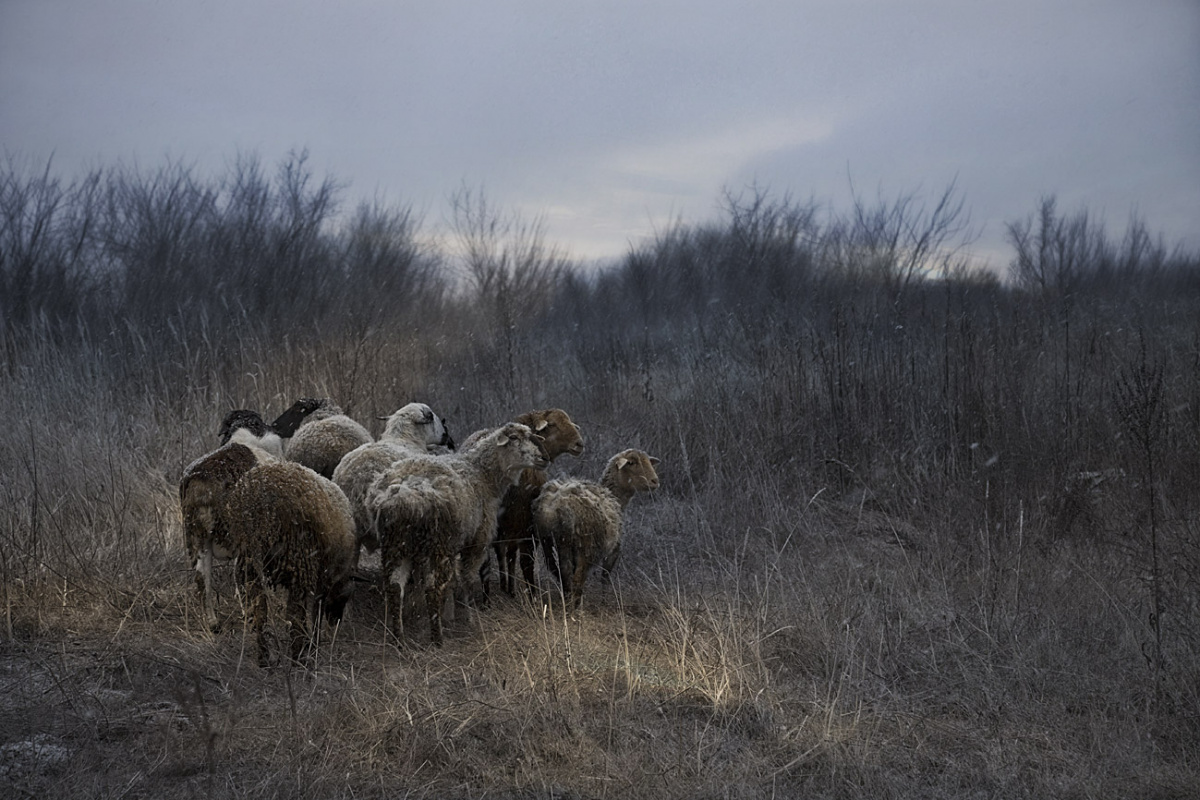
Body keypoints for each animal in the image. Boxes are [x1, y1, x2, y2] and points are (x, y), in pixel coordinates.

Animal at [222, 460, 358, 667]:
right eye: (345, 597)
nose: (337, 621)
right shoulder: (322, 579)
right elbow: (315, 614)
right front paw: (314, 647)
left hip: (249, 567)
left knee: (260, 612)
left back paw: (264, 658)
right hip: (300, 563)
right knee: (294, 615)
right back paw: (297, 658)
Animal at [367, 422, 548, 645]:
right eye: (514, 438)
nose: (544, 458)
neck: (483, 475)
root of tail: (402, 497)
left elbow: (453, 582)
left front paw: (450, 615)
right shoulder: (476, 543)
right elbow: (467, 580)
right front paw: (469, 617)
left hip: (396, 545)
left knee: (394, 588)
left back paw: (398, 638)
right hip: (439, 545)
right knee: (433, 589)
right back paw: (437, 639)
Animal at [482, 409, 585, 600]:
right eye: (552, 424)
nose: (579, 444)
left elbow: (508, 554)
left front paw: (509, 588)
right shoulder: (524, 525)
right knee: (523, 560)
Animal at [534, 449, 660, 610]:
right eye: (632, 463)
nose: (655, 481)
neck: (616, 497)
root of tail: (556, 506)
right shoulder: (614, 549)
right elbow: (605, 577)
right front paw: (604, 601)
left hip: (551, 542)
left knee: (562, 573)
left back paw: (568, 601)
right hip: (587, 546)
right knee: (578, 577)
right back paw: (576, 607)